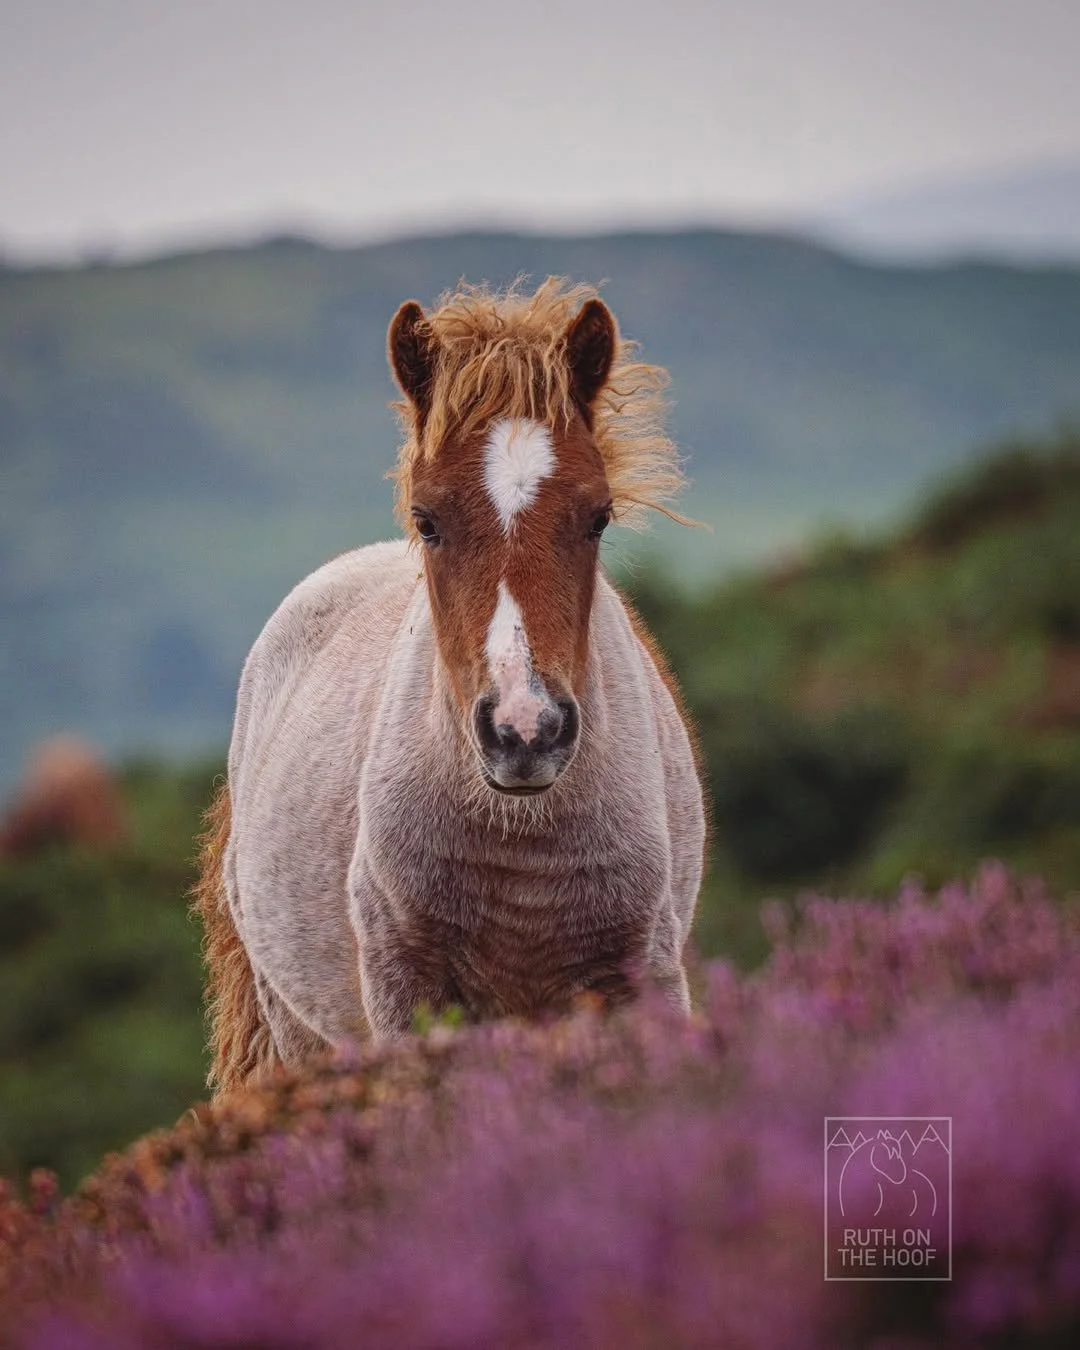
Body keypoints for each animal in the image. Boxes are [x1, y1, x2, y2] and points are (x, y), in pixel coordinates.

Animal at [194, 278, 706, 1094]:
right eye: (427, 519)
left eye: (598, 516)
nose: (525, 731)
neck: (523, 849)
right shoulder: (410, 1003)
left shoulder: (644, 983)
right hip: (300, 1033)